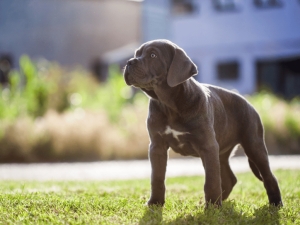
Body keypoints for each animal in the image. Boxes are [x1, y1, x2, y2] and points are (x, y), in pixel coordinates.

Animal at [123, 39, 282, 207]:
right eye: (137, 54)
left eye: (153, 55)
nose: (129, 62)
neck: (169, 104)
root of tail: (249, 103)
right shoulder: (157, 146)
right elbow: (157, 177)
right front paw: (155, 203)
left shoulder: (208, 145)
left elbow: (211, 180)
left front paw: (212, 207)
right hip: (221, 151)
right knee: (229, 178)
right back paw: (219, 202)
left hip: (253, 145)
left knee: (268, 176)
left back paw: (275, 203)